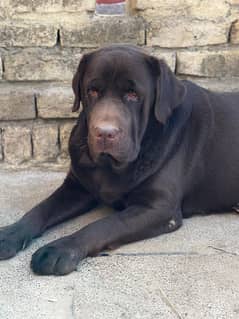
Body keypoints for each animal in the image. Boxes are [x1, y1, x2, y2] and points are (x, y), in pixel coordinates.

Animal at [0, 43, 239, 276]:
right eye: (92, 91)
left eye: (133, 94)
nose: (105, 133)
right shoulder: (77, 187)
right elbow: (41, 209)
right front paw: (11, 233)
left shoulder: (159, 207)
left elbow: (105, 224)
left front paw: (61, 249)